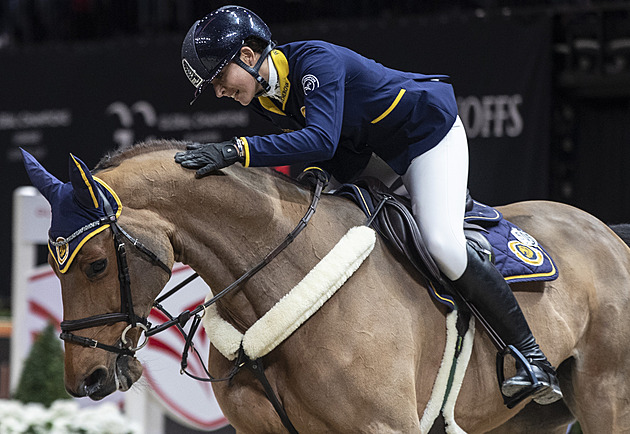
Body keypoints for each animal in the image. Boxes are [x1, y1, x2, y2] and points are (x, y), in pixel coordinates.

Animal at [24, 141, 630, 432]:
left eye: (95, 265)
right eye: (52, 267)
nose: (87, 380)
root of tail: (607, 234)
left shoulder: (385, 427)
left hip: (606, 399)